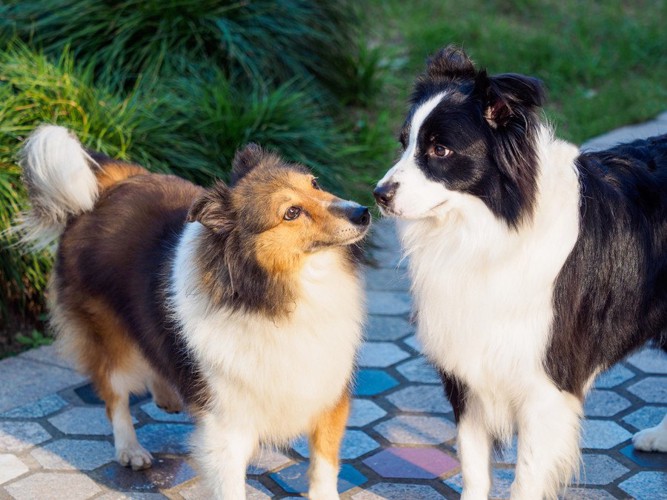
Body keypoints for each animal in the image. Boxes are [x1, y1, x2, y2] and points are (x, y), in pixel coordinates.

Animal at [17, 124, 370, 496]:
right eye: (291, 212)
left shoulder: (328, 392)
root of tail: (107, 187)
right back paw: (130, 449)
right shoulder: (226, 425)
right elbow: (230, 486)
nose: (363, 212)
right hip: (108, 337)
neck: (273, 295)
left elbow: (324, 465)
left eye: (314, 183)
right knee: (114, 394)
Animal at [374, 45, 664, 498]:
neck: (490, 232)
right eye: (404, 144)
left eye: (440, 150)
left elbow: (526, 477)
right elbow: (473, 466)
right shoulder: (467, 372)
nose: (378, 195)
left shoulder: (544, 384)